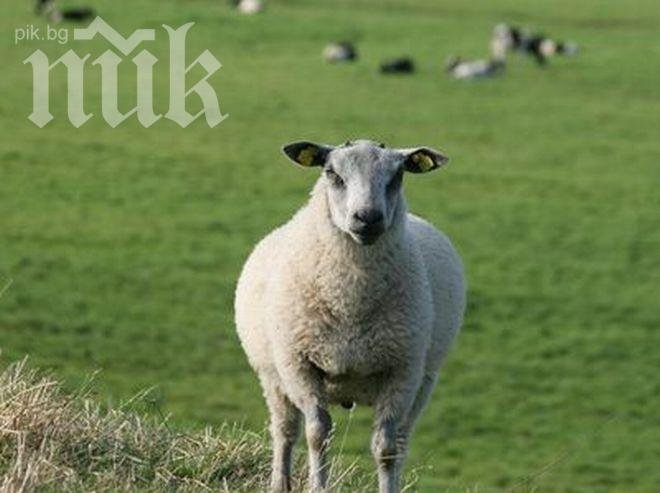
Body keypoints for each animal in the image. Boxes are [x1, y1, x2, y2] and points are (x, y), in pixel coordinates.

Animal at [235, 138, 466, 492]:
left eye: (398, 175)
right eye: (332, 173)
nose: (368, 217)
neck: (350, 301)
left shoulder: (402, 370)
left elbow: (386, 448)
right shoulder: (300, 366)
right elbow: (317, 435)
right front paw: (317, 487)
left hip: (423, 382)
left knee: (402, 439)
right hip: (274, 378)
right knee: (285, 431)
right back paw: (279, 483)